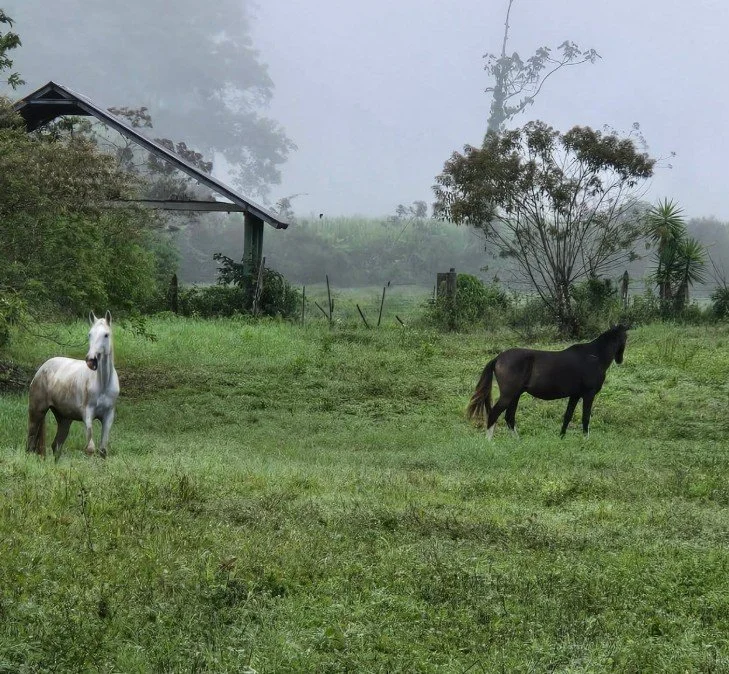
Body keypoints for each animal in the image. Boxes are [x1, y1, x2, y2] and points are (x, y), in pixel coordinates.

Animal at [27, 311, 119, 459]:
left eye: (106, 334)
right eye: (90, 334)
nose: (91, 360)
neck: (103, 383)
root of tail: (41, 369)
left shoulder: (108, 415)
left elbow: (102, 451)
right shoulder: (87, 413)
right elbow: (90, 449)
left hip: (64, 419)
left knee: (56, 445)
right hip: (37, 411)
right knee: (30, 442)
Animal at [466, 324, 629, 439]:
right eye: (626, 337)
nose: (620, 360)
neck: (594, 356)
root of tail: (498, 358)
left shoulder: (575, 395)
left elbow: (567, 416)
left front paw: (561, 437)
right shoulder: (588, 394)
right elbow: (585, 417)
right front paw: (585, 440)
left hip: (515, 395)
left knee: (509, 418)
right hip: (508, 395)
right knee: (494, 415)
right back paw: (489, 443)